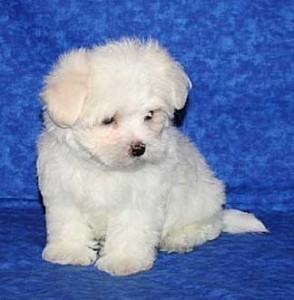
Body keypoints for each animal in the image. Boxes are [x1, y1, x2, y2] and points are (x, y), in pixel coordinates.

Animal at [38, 38, 268, 276]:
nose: (139, 148)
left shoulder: (141, 198)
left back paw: (179, 239)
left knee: (206, 227)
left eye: (149, 115)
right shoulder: (62, 190)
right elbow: (68, 222)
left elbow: (130, 229)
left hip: (203, 201)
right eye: (108, 120)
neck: (104, 167)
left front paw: (125, 260)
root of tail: (219, 214)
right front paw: (69, 251)